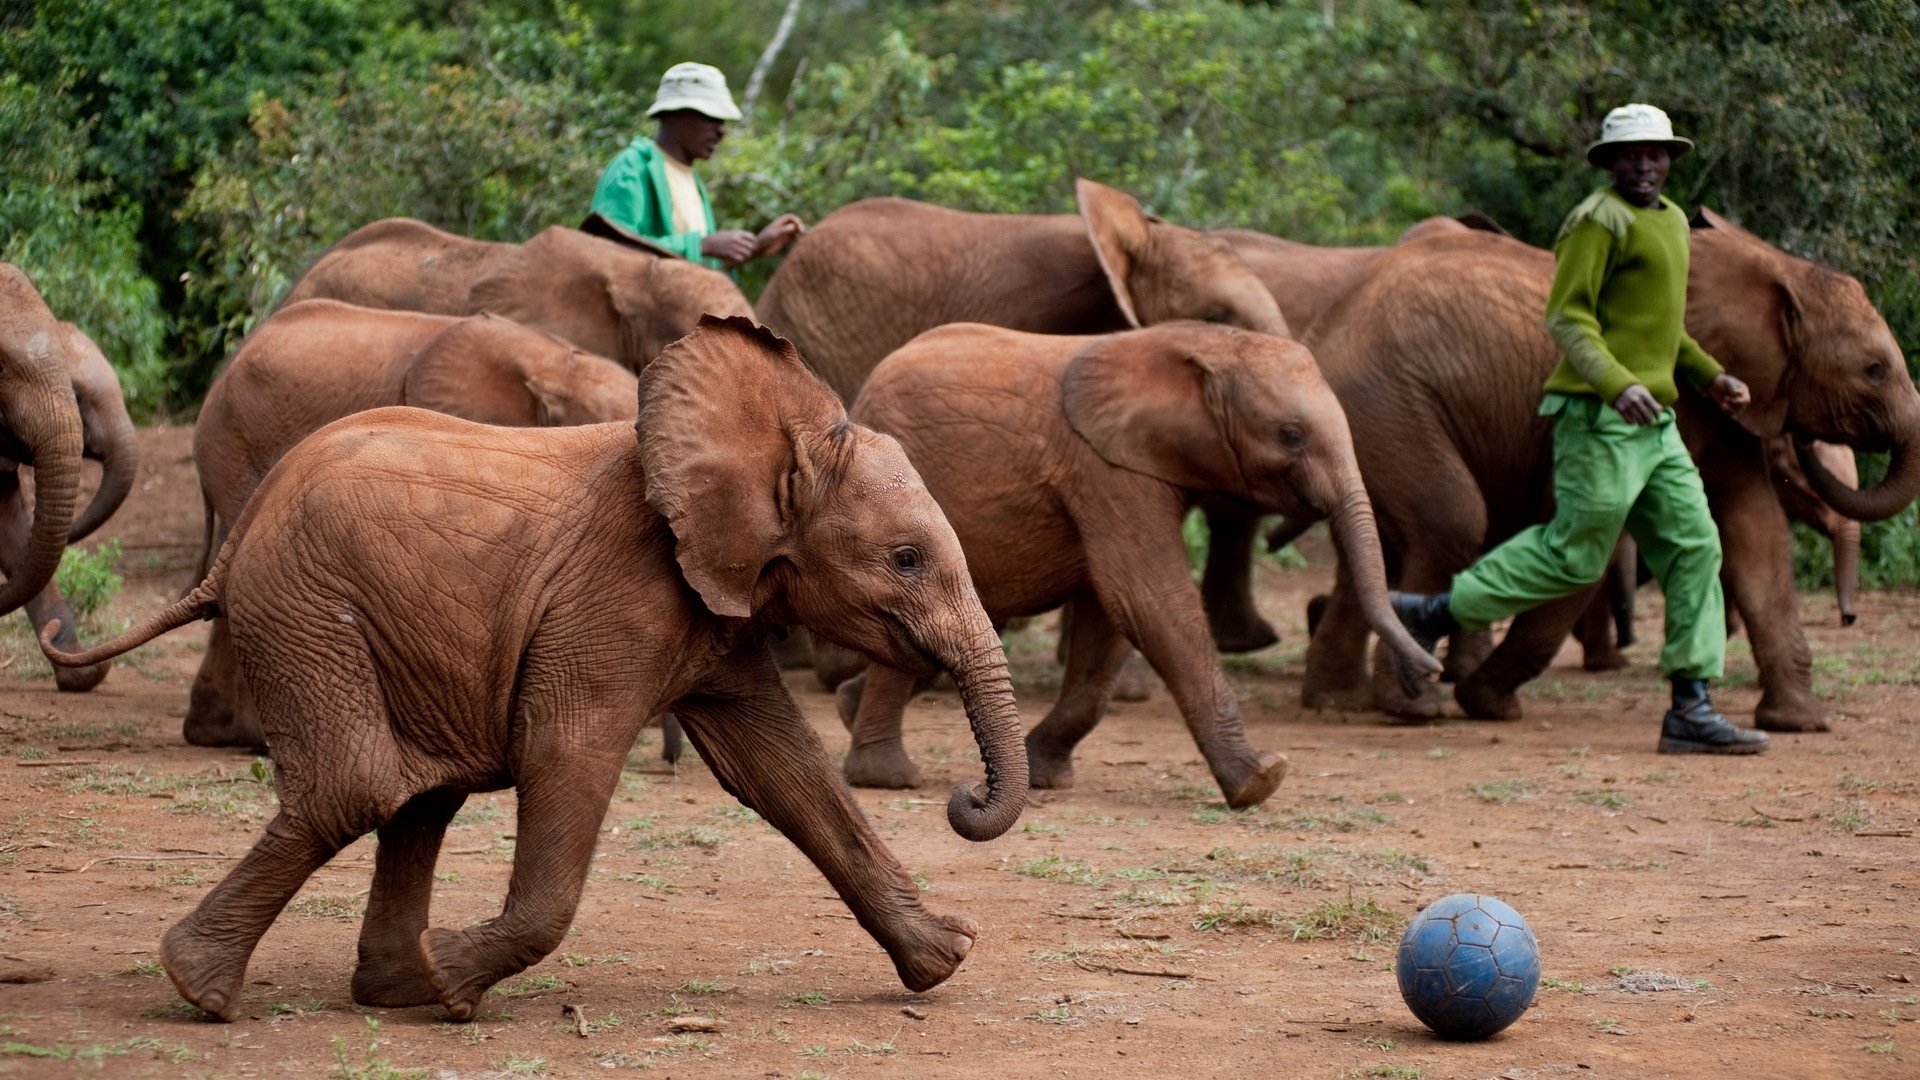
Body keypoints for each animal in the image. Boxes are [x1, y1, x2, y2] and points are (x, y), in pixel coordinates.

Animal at [840, 319, 1443, 807]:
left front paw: (1046, 777)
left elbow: (1108, 620)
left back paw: (849, 711)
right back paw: (886, 777)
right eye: (1290, 436)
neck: (1203, 343)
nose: (1429, 674)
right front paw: (1260, 781)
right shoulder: (1108, 470)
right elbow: (1148, 600)